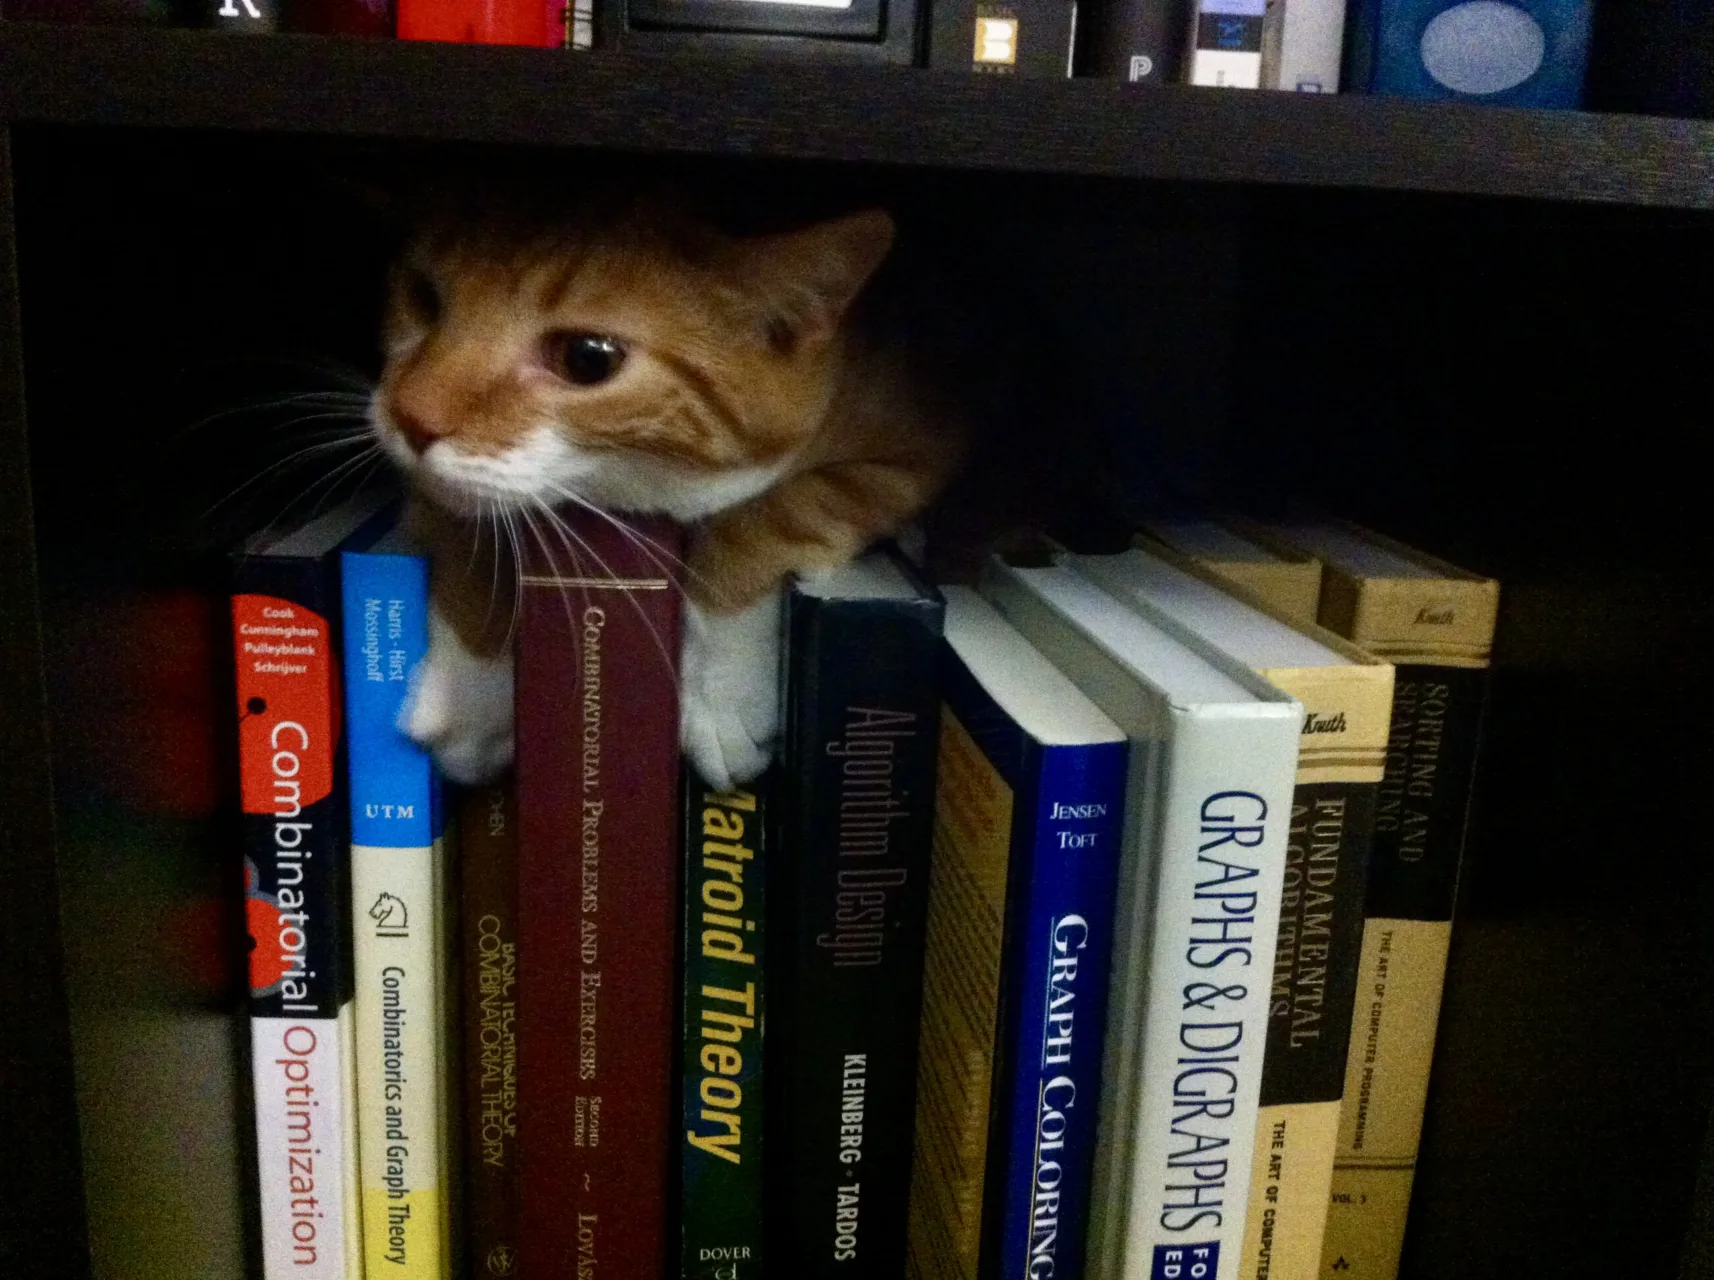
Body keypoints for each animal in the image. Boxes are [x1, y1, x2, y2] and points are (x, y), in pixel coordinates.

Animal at [368, 190, 973, 791]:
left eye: (586, 358)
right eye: (425, 297)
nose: (409, 417)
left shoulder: (919, 444)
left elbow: (773, 518)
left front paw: (724, 695)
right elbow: (471, 527)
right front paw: (475, 694)